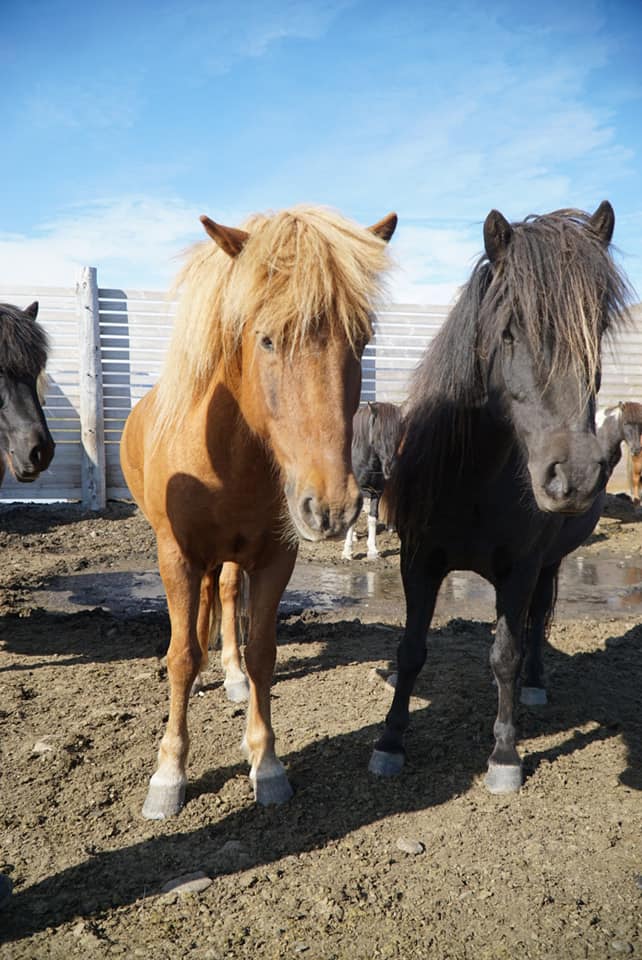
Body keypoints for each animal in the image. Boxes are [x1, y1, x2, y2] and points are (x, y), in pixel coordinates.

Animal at [120, 205, 397, 817]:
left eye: (362, 340)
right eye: (266, 340)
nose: (331, 507)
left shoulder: (274, 559)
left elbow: (263, 652)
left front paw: (265, 762)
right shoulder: (176, 555)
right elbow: (180, 656)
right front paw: (169, 774)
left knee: (223, 596)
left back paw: (227, 674)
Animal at [342, 400, 403, 560]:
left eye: (398, 436)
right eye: (379, 436)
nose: (390, 468)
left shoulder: (377, 491)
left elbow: (372, 518)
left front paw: (372, 550)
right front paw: (347, 552)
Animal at [368, 202, 632, 795]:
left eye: (597, 328)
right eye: (509, 331)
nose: (573, 475)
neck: (472, 481)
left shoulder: (521, 568)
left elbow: (506, 654)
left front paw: (505, 754)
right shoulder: (419, 562)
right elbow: (410, 651)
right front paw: (390, 742)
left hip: (550, 561)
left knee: (535, 623)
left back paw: (535, 684)